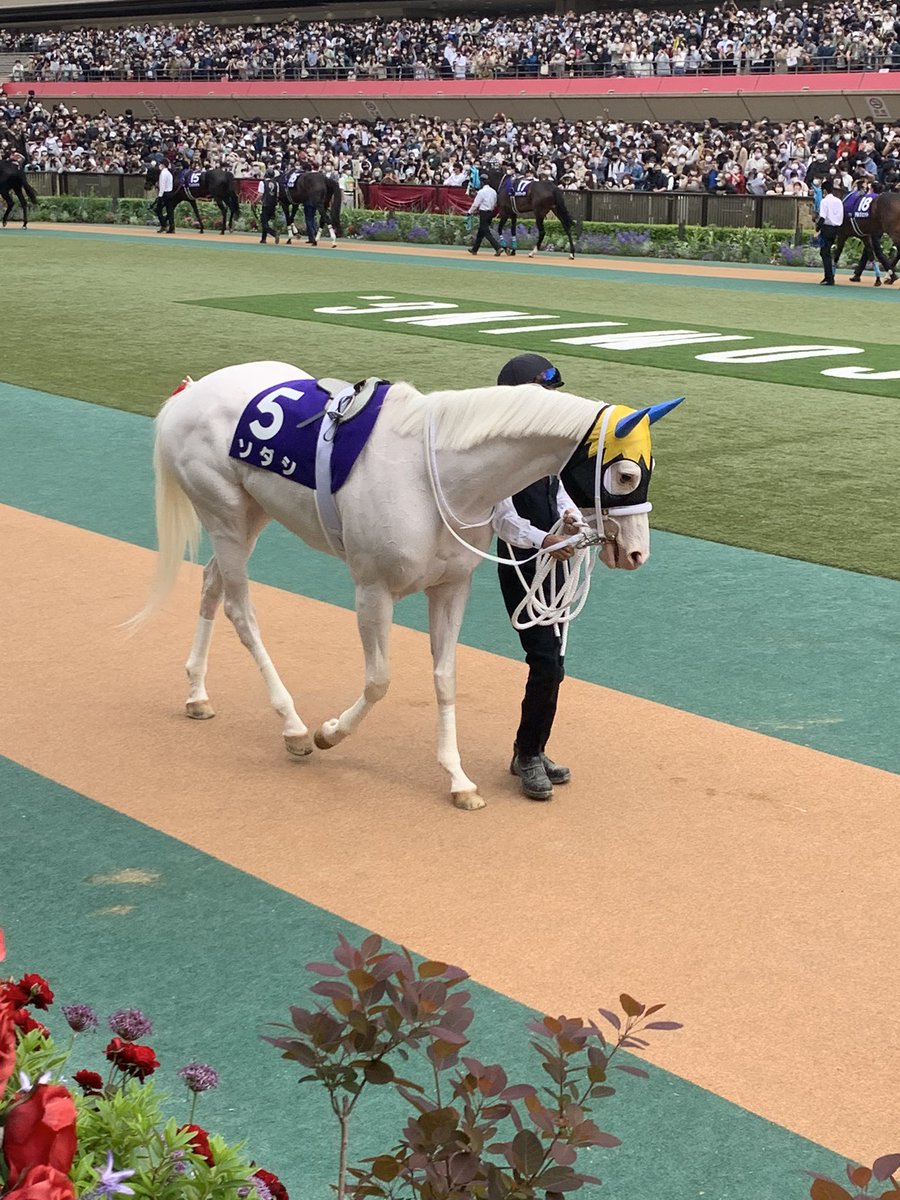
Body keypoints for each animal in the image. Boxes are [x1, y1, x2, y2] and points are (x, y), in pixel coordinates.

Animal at [128, 362, 682, 810]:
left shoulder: (451, 587)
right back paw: (293, 726)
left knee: (211, 585)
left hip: (249, 516)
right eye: (627, 475)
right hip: (223, 515)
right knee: (241, 612)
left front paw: (458, 780)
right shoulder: (372, 590)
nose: (636, 552)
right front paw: (330, 732)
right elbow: (379, 680)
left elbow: (445, 678)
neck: (436, 474)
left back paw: (197, 693)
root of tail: (190, 391)